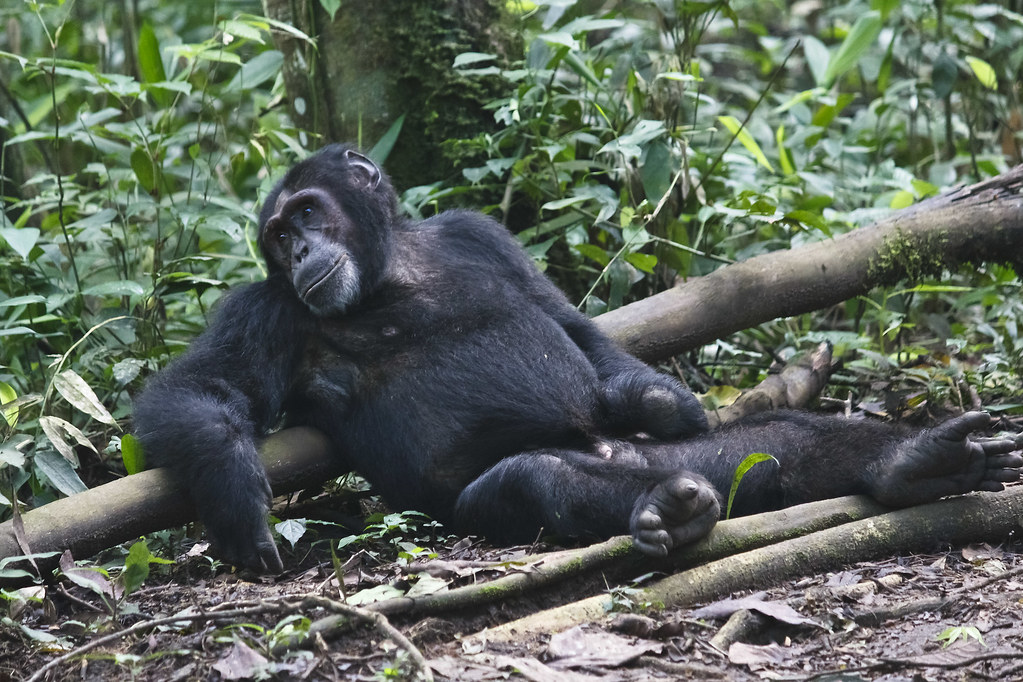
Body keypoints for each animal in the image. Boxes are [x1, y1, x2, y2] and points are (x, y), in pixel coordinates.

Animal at [131, 145, 1018, 576]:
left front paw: (659, 397)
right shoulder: (263, 310)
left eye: (309, 213)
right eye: (278, 235)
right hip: (493, 502)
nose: (302, 249)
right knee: (543, 477)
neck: (395, 273)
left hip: (689, 452)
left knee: (781, 443)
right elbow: (201, 388)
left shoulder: (480, 234)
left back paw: (917, 459)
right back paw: (663, 507)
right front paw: (240, 504)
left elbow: (569, 323)